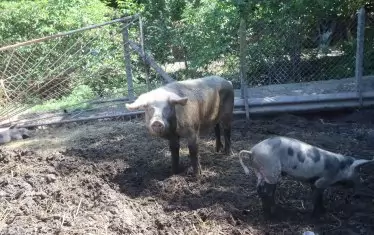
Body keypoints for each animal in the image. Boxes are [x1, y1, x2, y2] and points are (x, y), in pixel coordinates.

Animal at [238, 136, 374, 218]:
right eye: (358, 171)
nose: (360, 184)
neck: (340, 168)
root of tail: (252, 151)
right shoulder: (324, 180)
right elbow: (318, 196)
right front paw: (318, 216)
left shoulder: (314, 181)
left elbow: (316, 195)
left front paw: (322, 212)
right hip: (270, 169)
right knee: (266, 191)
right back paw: (273, 215)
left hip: (262, 172)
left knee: (261, 189)